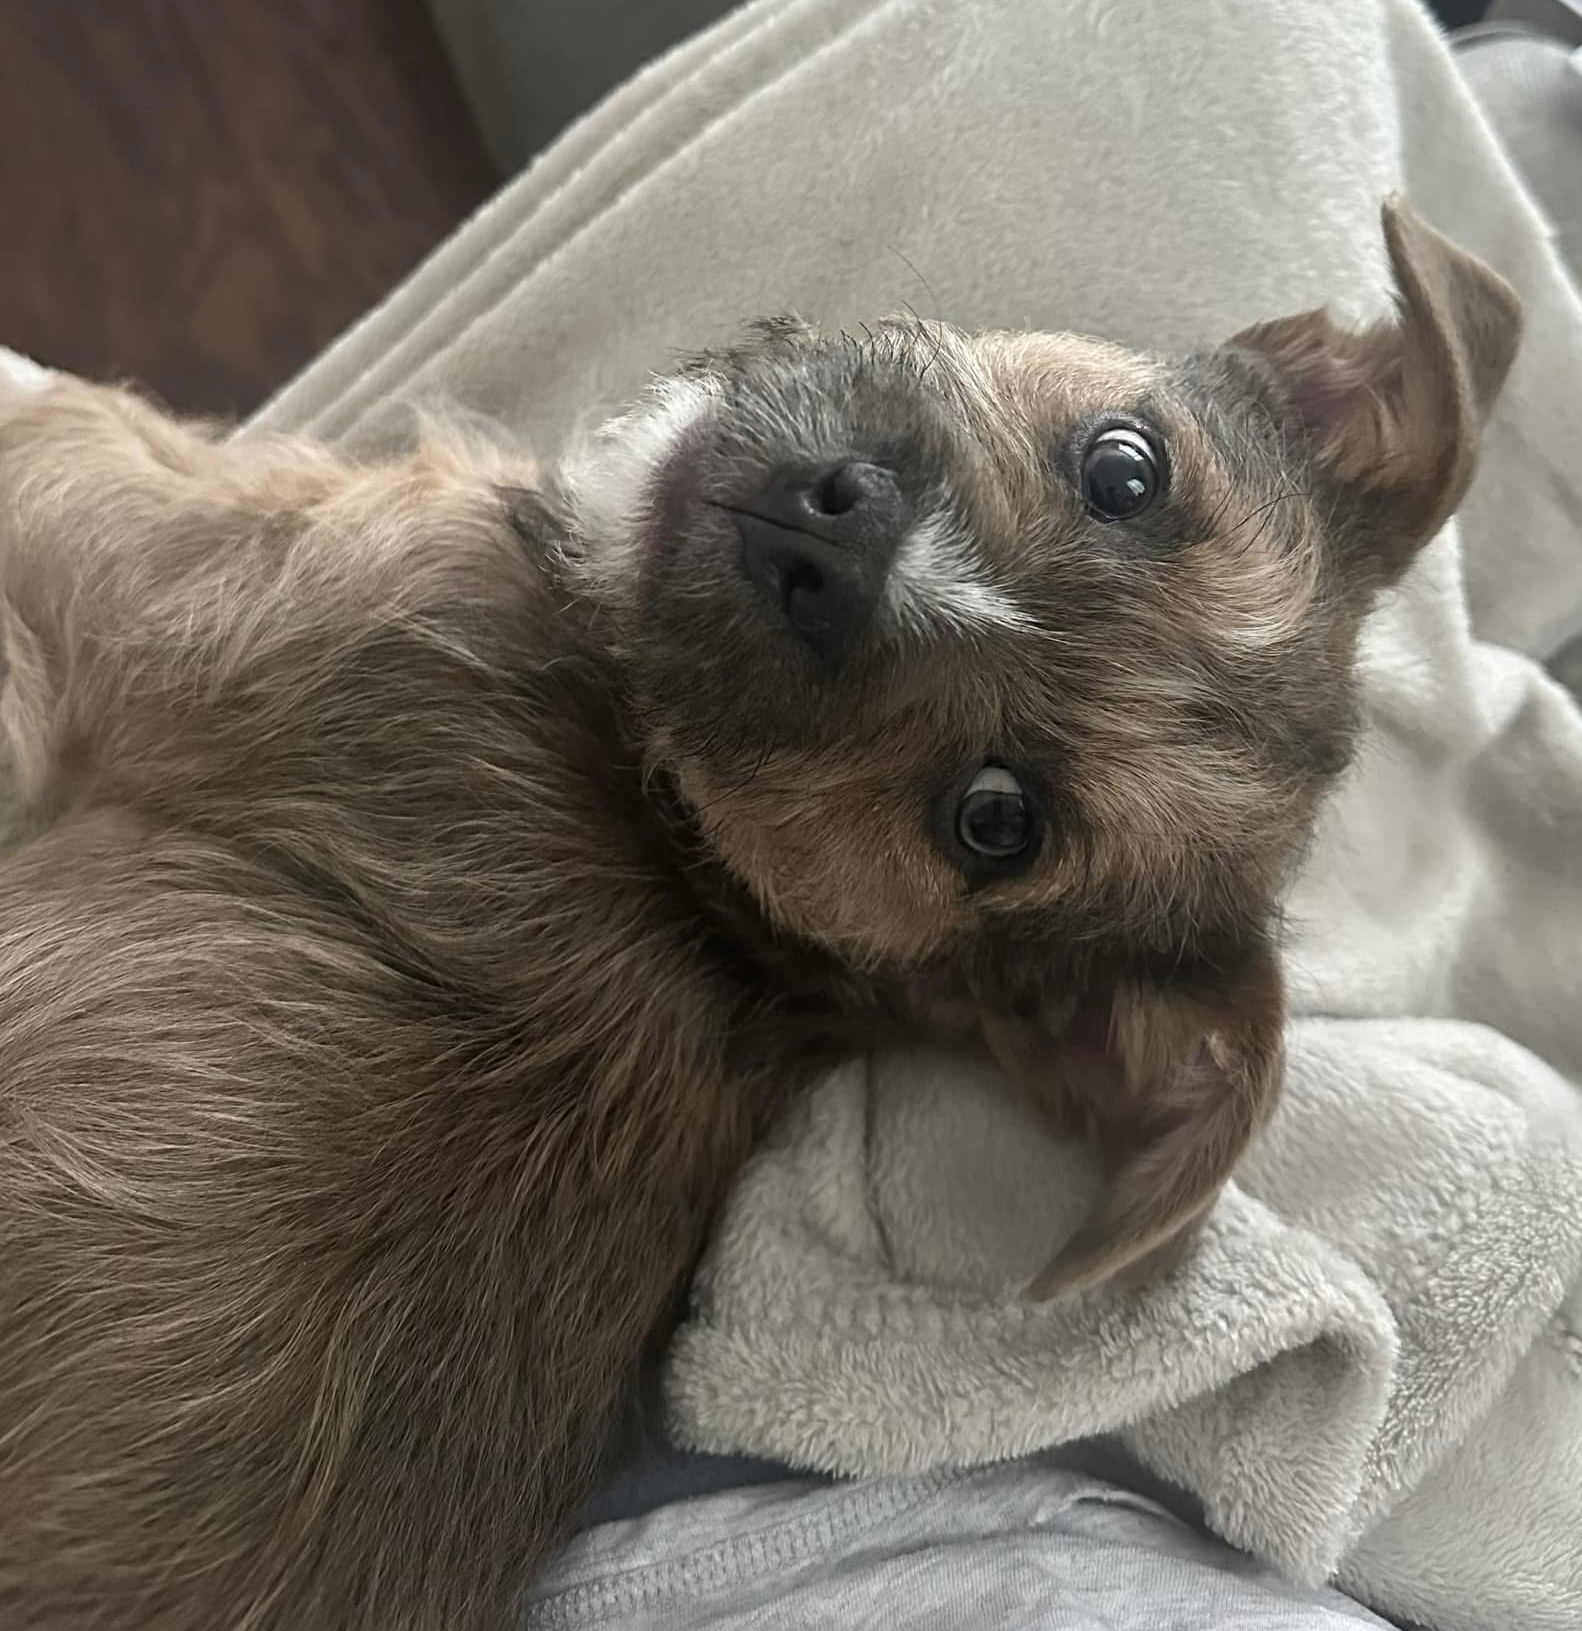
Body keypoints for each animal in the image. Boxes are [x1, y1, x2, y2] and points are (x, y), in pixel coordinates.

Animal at [0, 203, 1520, 1631]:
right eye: (1124, 470)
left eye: (993, 818)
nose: (833, 534)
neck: (697, 872)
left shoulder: (149, 557)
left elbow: (55, 414)